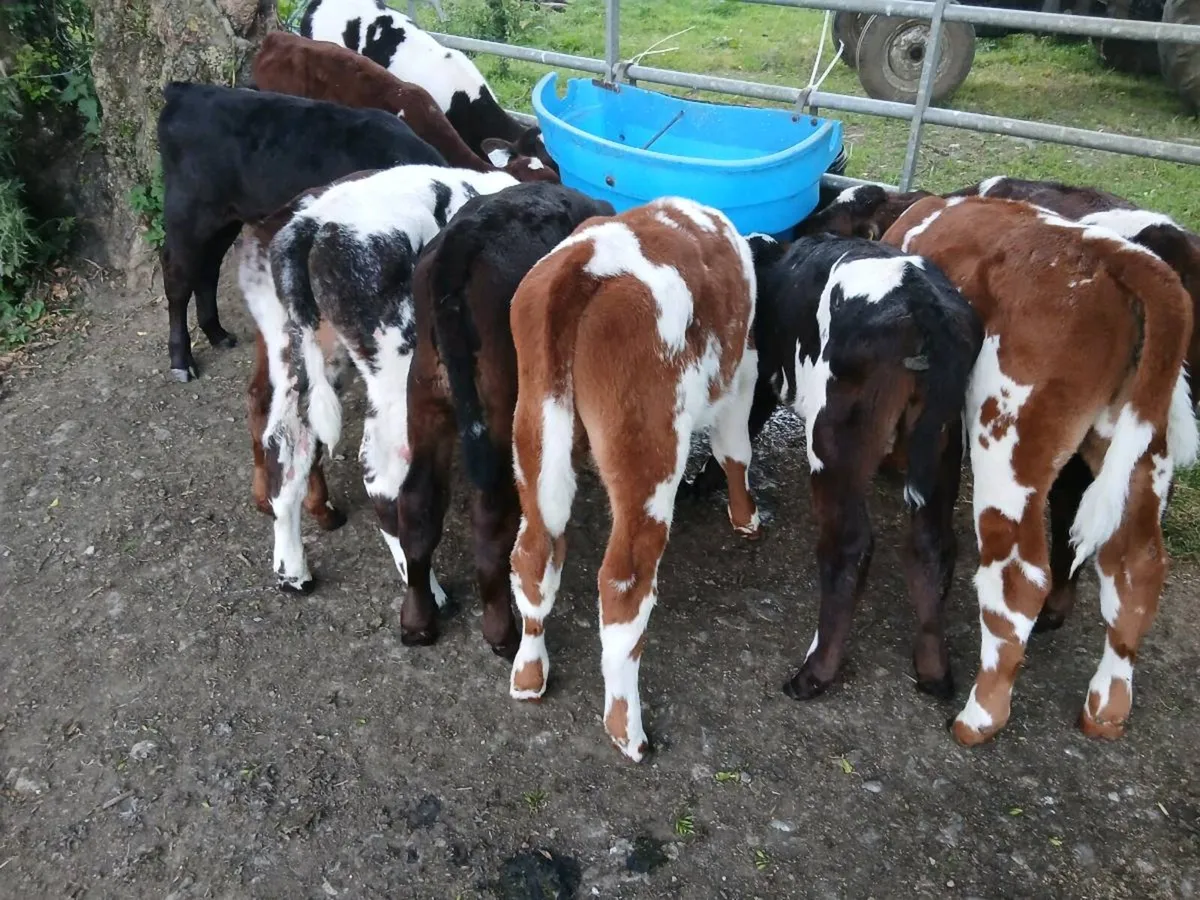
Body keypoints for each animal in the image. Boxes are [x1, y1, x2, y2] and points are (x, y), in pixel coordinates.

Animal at [157, 81, 446, 382]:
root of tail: (186, 91)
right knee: (177, 277)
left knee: (207, 270)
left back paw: (217, 334)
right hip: (187, 213)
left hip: (225, 219)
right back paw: (182, 361)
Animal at [396, 182, 615, 656]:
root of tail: (458, 250)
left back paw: (417, 620)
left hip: (425, 397)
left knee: (418, 502)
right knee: (491, 520)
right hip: (499, 412)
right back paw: (502, 632)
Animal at [506, 197, 761, 761]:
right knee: (623, 585)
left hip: (534, 425)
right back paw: (626, 728)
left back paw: (529, 673)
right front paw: (747, 517)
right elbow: (735, 451)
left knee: (534, 552)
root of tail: (586, 264)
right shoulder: (743, 376)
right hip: (647, 453)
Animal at [688, 234, 983, 699]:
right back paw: (934, 671)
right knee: (932, 545)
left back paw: (813, 673)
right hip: (944, 439)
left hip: (833, 438)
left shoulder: (754, 383)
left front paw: (702, 483)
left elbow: (736, 437)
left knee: (848, 546)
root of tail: (922, 304)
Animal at [884, 195, 1197, 745]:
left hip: (1010, 442)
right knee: (1135, 566)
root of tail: (1112, 253)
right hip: (1140, 450)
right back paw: (1106, 708)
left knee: (1019, 579)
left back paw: (979, 717)